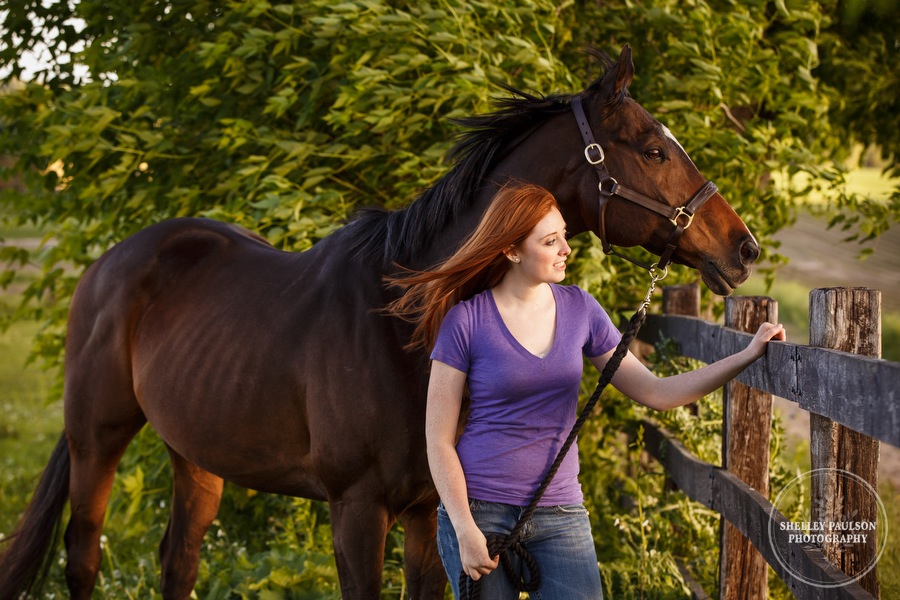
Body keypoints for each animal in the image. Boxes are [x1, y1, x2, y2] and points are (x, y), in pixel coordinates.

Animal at [0, 47, 760, 600]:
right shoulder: (357, 510)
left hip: (196, 452)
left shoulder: (429, 513)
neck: (403, 326)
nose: (742, 248)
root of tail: (112, 264)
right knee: (82, 558)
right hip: (97, 439)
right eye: (652, 149)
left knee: (177, 561)